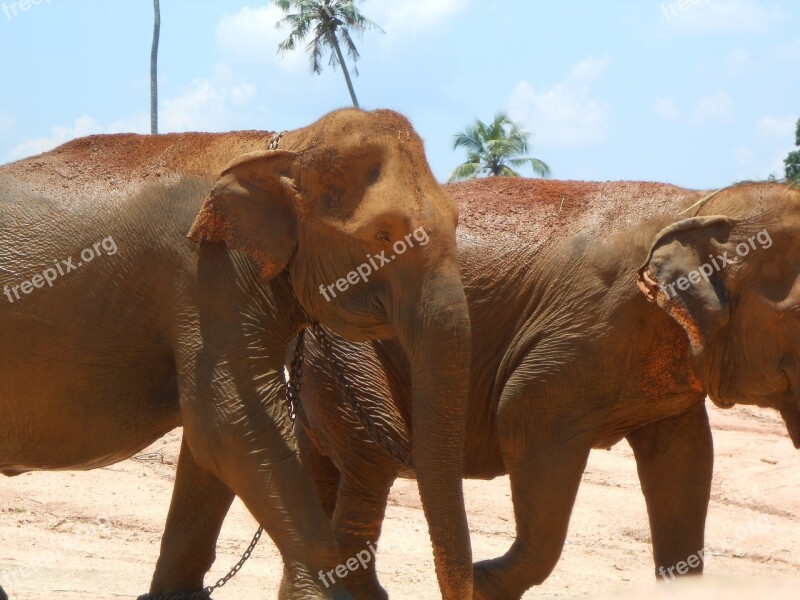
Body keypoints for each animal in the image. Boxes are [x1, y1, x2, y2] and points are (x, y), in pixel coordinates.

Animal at [0, 109, 472, 600]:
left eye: (457, 223)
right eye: (383, 234)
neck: (286, 146)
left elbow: (214, 444)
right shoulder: (207, 277)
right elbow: (231, 426)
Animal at [292, 177, 800, 600]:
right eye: (797, 316)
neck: (699, 202)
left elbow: (685, 459)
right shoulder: (590, 326)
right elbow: (524, 412)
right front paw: (482, 583)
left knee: (323, 472)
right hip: (347, 344)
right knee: (368, 467)